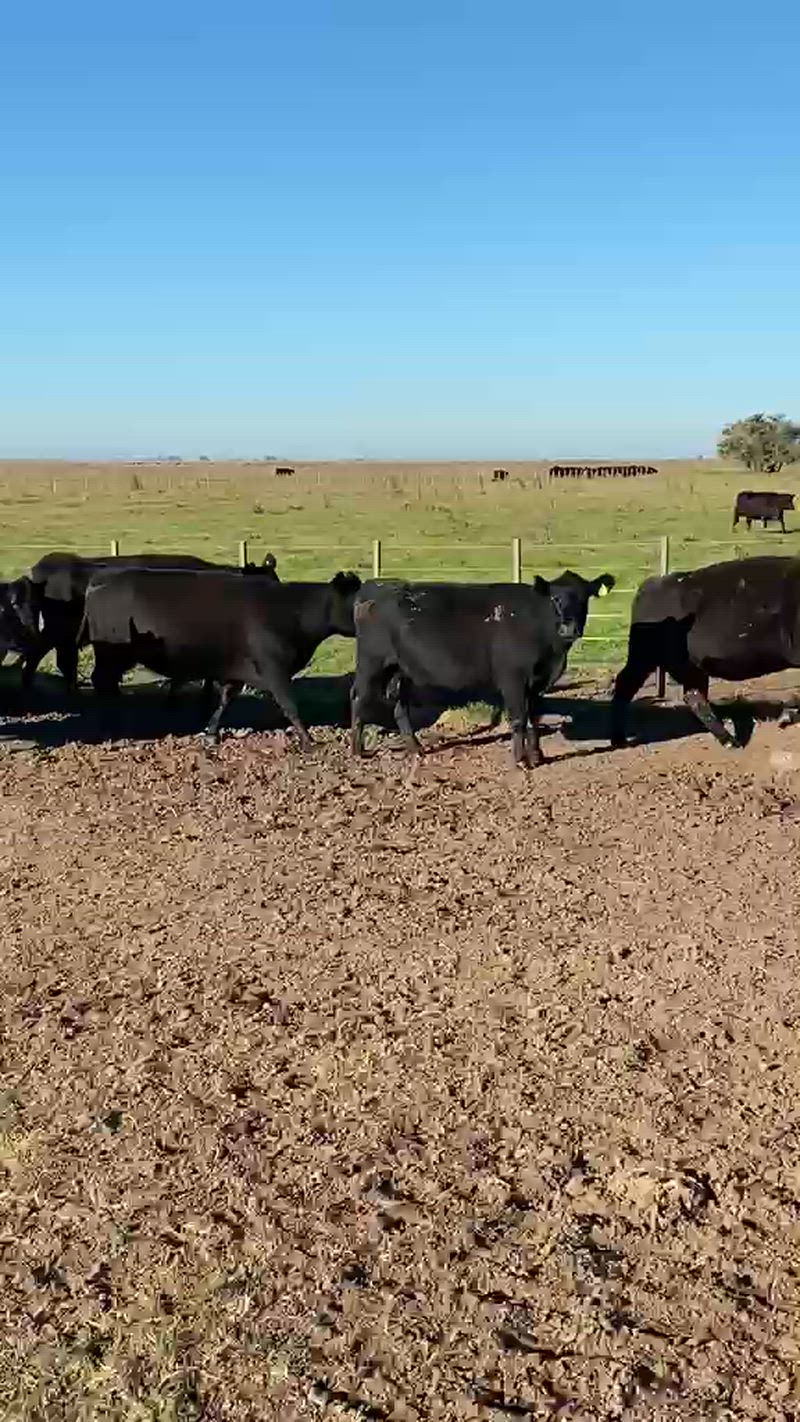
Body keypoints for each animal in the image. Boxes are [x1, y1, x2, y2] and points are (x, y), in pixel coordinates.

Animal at [82, 568, 362, 746]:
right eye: (357, 601)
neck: (292, 611)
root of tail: (102, 579)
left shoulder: (238, 671)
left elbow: (226, 700)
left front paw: (211, 732)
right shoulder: (274, 668)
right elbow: (290, 705)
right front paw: (308, 740)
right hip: (113, 654)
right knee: (102, 681)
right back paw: (109, 724)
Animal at [350, 571, 615, 767]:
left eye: (584, 598)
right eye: (555, 599)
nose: (569, 628)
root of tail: (375, 585)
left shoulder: (538, 682)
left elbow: (535, 718)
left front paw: (537, 755)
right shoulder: (513, 678)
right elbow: (519, 718)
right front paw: (520, 760)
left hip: (399, 668)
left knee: (399, 705)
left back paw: (415, 748)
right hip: (371, 662)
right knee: (358, 696)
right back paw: (357, 750)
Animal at [610, 555, 800, 749]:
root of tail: (652, 583)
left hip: (688, 666)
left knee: (693, 695)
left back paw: (728, 739)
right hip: (644, 656)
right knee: (625, 684)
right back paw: (619, 739)